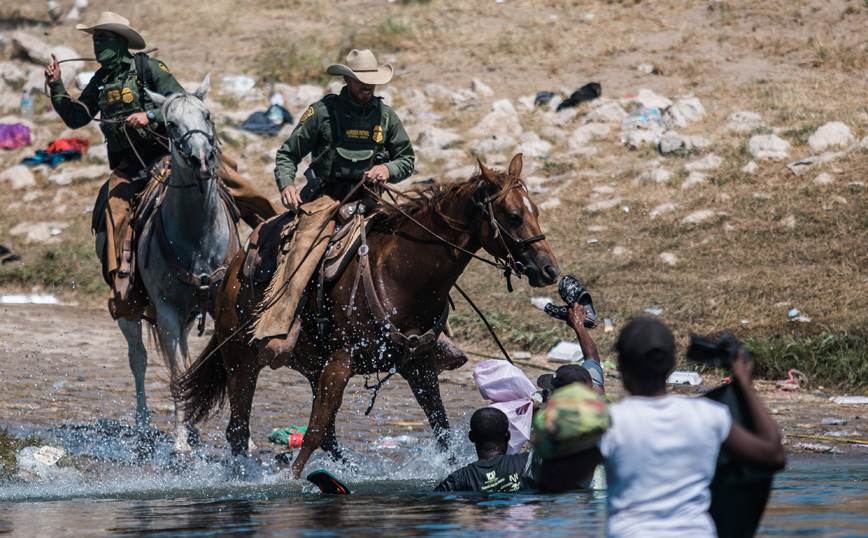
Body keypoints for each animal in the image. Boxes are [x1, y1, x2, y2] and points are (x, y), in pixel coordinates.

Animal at [173, 153, 560, 476]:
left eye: (537, 212)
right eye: (513, 216)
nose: (550, 270)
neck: (402, 274)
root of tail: (232, 271)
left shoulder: (418, 366)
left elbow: (442, 430)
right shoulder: (341, 362)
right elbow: (313, 432)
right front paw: (291, 481)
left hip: (311, 366)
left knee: (325, 434)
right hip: (241, 359)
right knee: (239, 430)